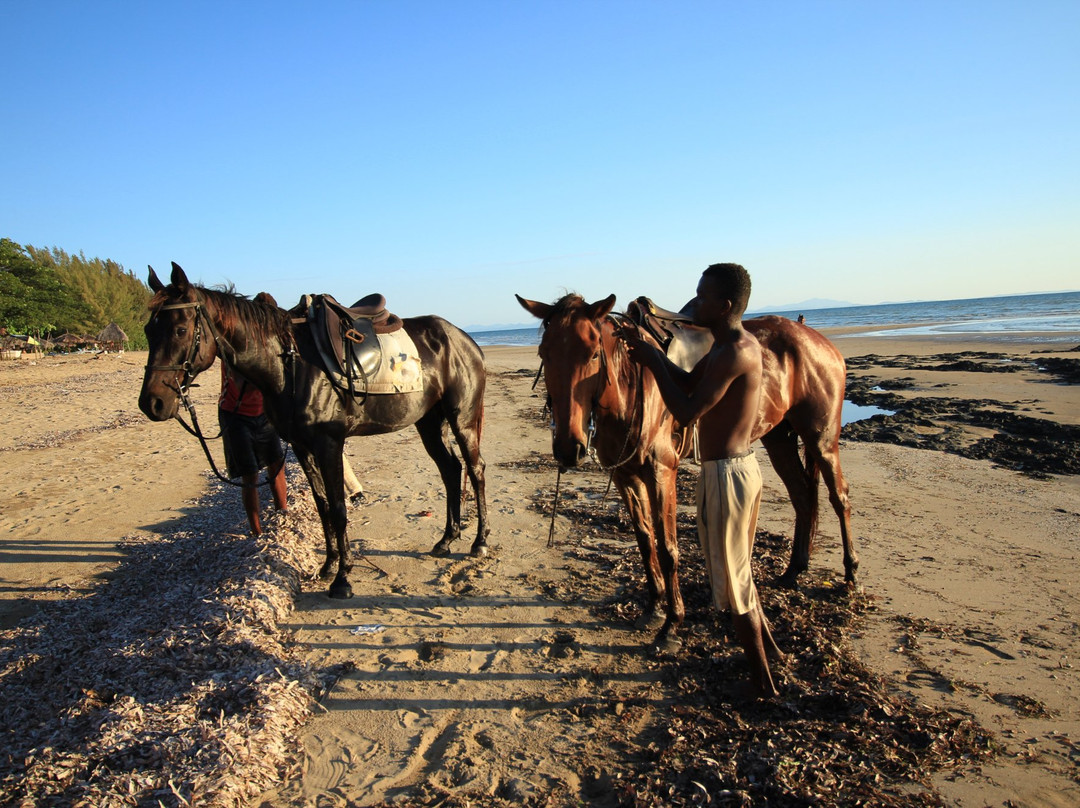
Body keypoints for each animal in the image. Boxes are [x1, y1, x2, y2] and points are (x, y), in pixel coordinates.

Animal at [139, 264, 490, 600]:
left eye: (180, 329)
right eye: (148, 330)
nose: (152, 403)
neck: (289, 364)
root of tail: (464, 339)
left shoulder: (329, 444)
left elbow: (338, 508)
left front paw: (343, 579)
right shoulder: (301, 445)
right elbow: (322, 506)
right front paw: (330, 565)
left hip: (462, 420)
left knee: (475, 470)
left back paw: (479, 542)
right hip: (429, 423)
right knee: (450, 469)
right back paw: (446, 539)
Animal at [518, 293, 855, 648]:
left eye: (593, 352)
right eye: (544, 354)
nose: (568, 448)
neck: (629, 386)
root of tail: (816, 338)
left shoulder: (662, 473)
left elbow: (668, 549)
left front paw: (672, 623)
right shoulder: (625, 476)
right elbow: (644, 540)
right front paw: (653, 607)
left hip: (821, 438)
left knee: (839, 498)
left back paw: (850, 575)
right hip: (779, 438)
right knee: (803, 496)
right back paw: (794, 571)